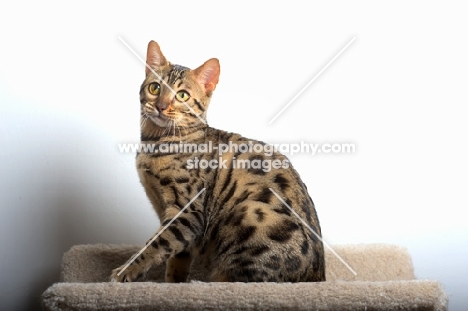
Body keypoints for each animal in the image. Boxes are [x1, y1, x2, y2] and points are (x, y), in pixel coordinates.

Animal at [110, 40, 326, 284]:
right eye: (155, 88)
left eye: (182, 95)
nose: (161, 106)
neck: (156, 142)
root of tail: (318, 277)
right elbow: (177, 258)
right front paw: (173, 284)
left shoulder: (187, 212)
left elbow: (156, 244)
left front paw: (125, 271)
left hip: (250, 211)